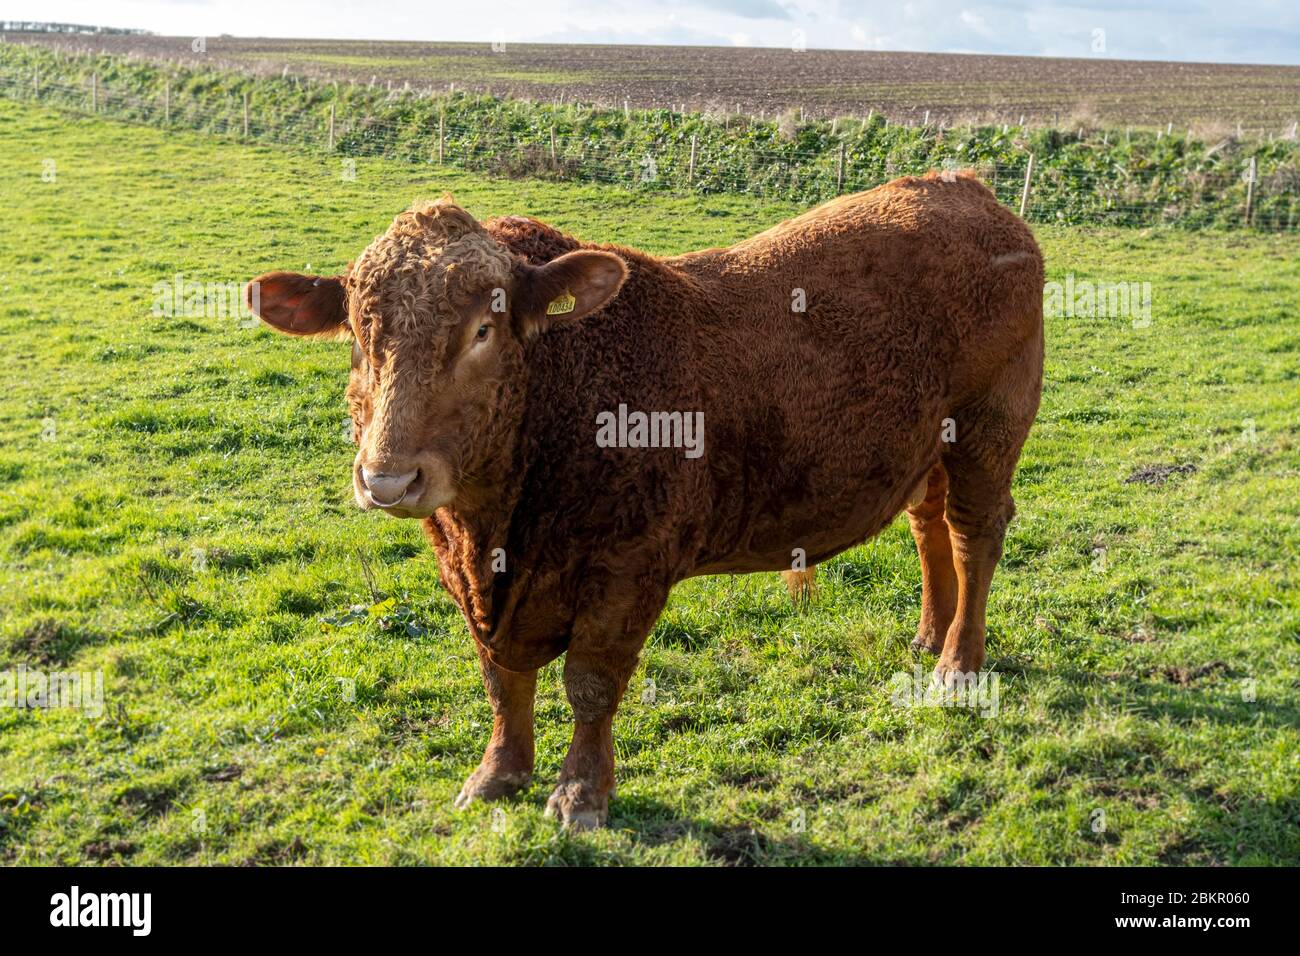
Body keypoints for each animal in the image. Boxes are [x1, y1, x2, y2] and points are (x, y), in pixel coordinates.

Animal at [248, 171, 1045, 832]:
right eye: (359, 336)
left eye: (483, 329)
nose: (387, 479)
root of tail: (962, 185)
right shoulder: (471, 581)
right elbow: (502, 678)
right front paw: (498, 773)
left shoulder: (628, 568)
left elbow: (591, 684)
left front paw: (580, 794)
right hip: (927, 445)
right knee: (928, 526)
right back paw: (929, 635)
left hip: (988, 426)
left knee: (974, 534)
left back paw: (957, 664)